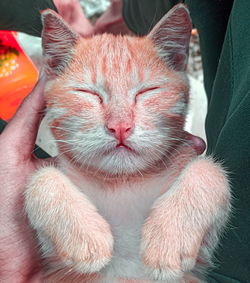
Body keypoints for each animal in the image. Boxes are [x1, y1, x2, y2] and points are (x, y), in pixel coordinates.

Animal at [24, 5, 231, 283]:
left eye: (147, 91)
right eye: (88, 93)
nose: (120, 126)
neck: (122, 182)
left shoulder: (202, 261)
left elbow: (210, 169)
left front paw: (168, 239)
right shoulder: (53, 261)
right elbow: (40, 177)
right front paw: (88, 238)